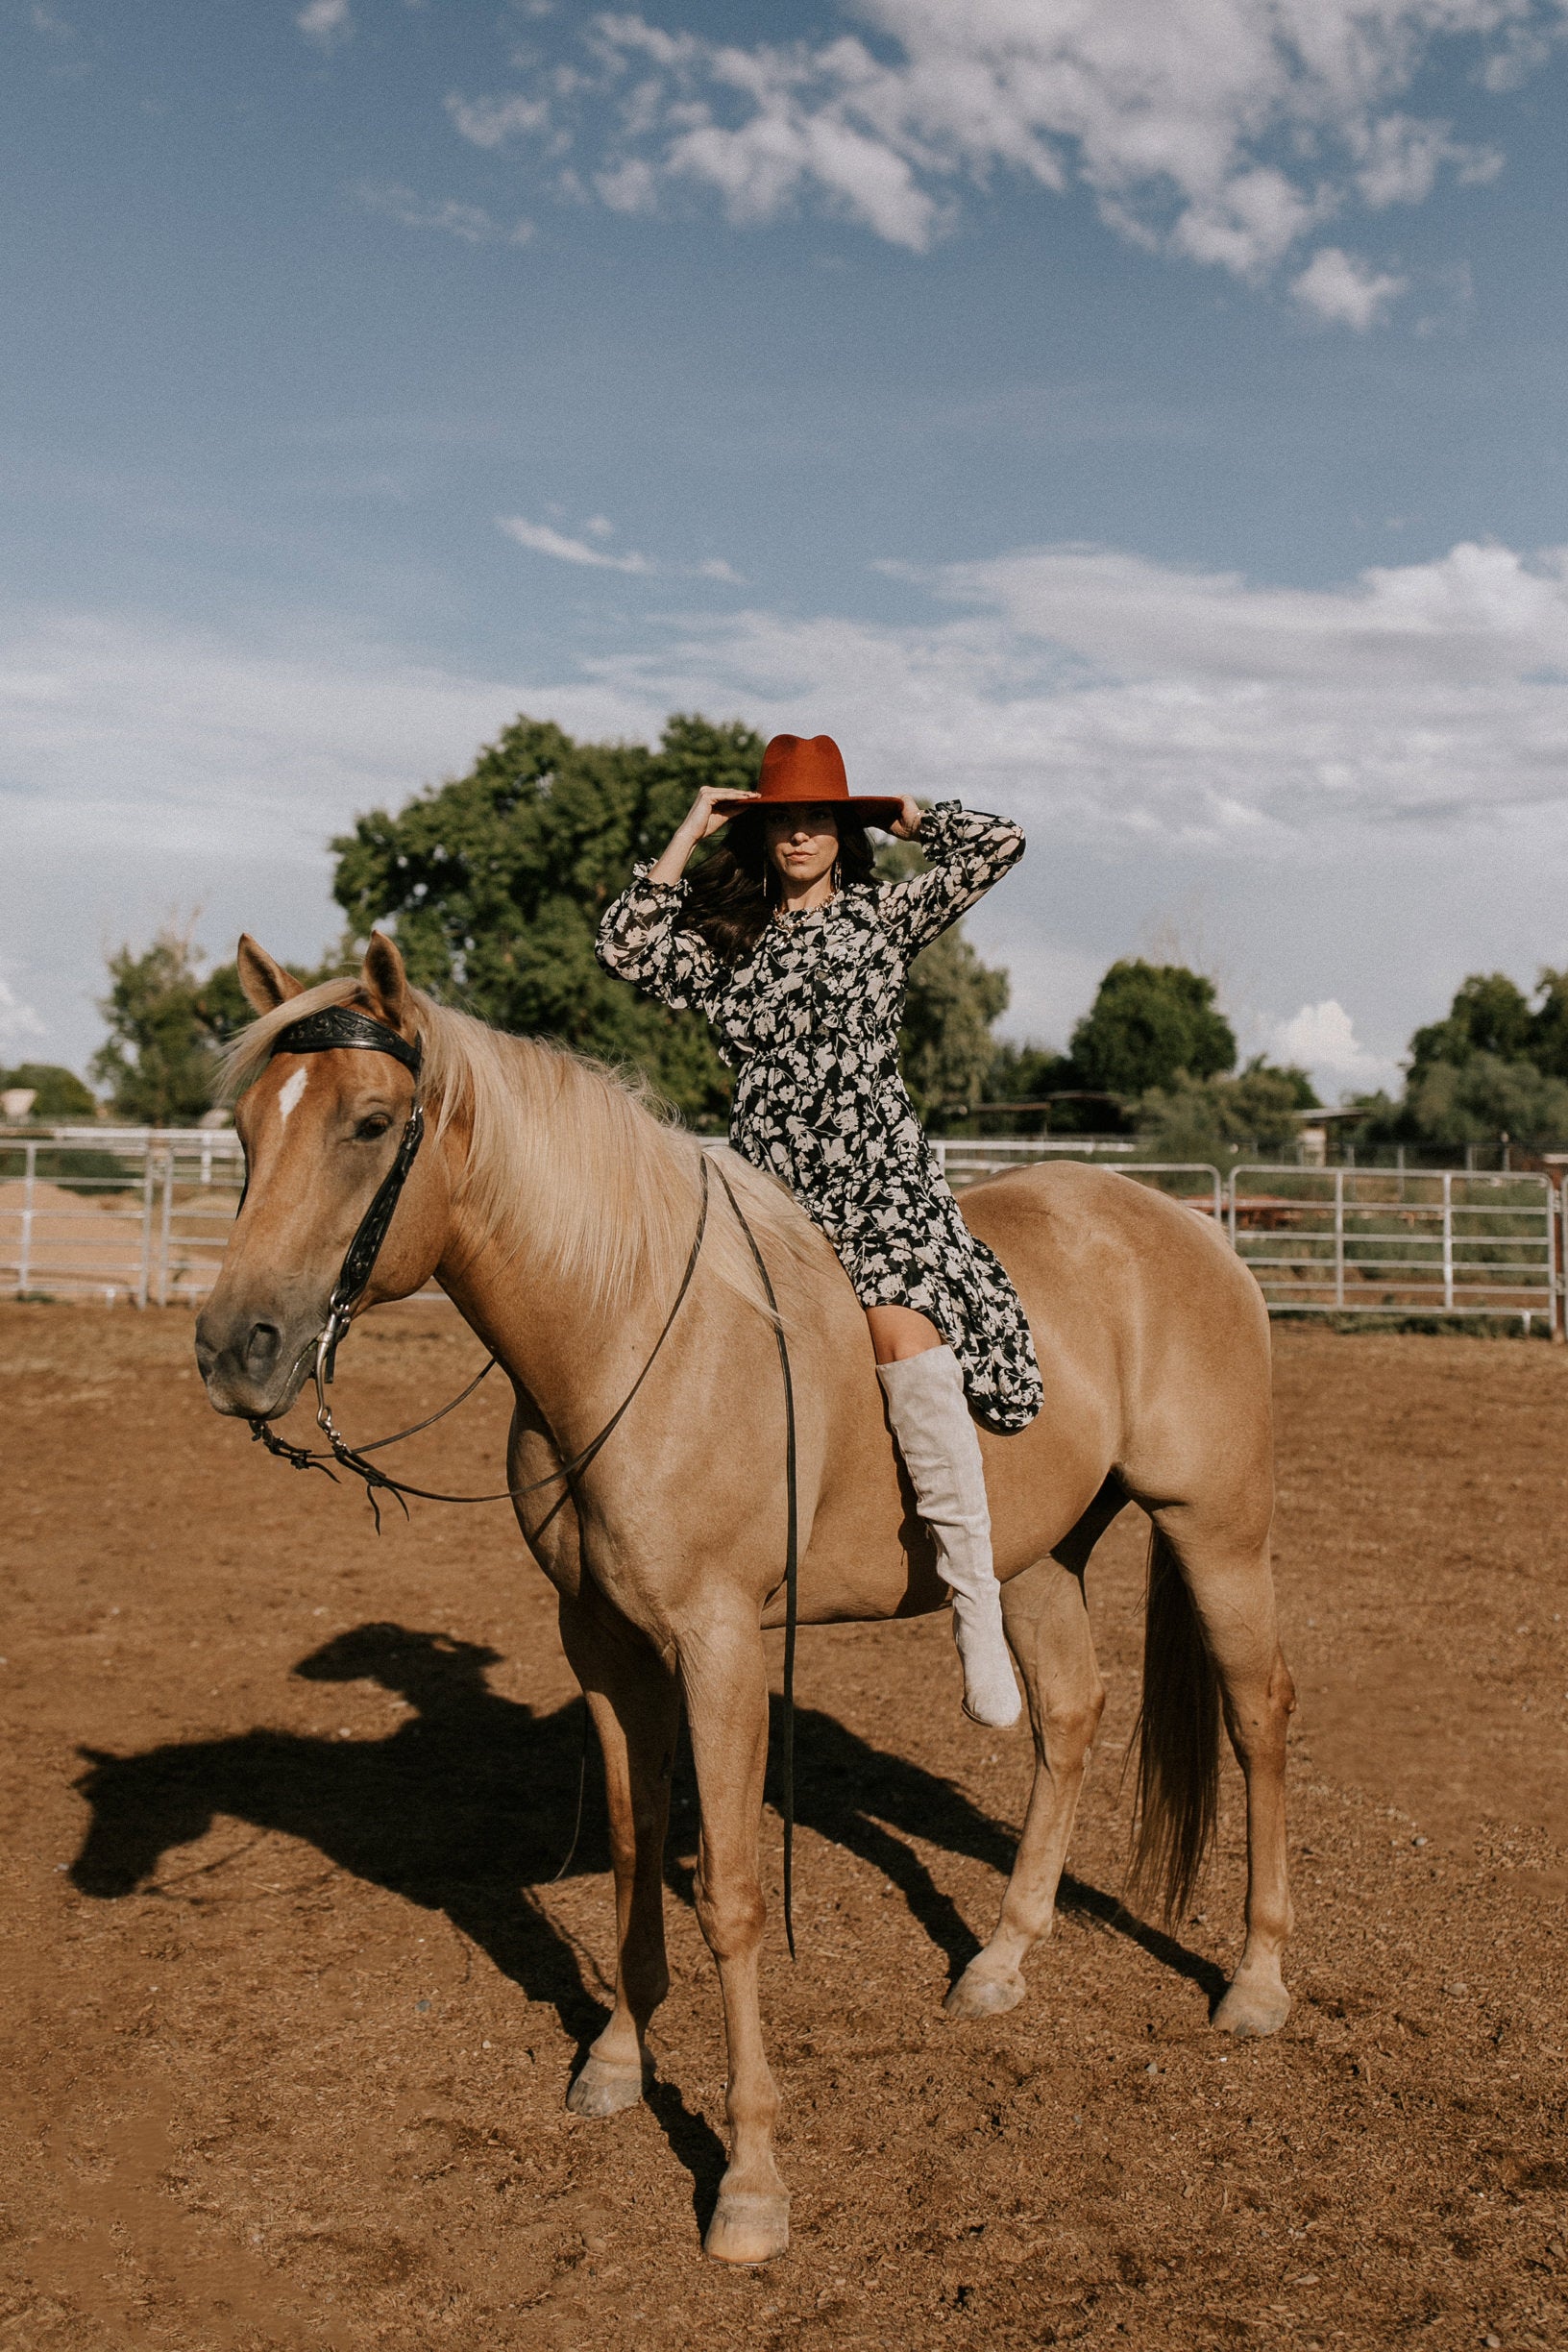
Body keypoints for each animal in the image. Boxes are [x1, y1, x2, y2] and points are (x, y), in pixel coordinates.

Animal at [199, 931, 1297, 2258]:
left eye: (368, 1123)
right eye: (246, 1128)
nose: (234, 1348)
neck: (627, 1333)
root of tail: (1196, 1231)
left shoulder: (718, 1643)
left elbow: (727, 1893)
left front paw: (752, 2183)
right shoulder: (605, 1644)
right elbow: (632, 1848)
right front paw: (616, 2063)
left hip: (1217, 1529)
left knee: (1257, 1716)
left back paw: (1257, 1981)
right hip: (1039, 1558)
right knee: (1072, 1719)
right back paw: (1000, 1961)